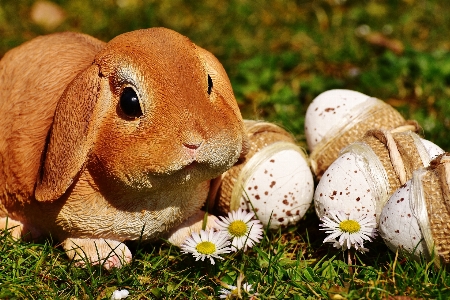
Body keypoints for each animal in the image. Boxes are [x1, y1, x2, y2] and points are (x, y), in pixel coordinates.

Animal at [0, 27, 246, 268]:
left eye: (209, 83)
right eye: (129, 102)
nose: (194, 141)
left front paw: (213, 228)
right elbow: (78, 238)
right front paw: (109, 256)